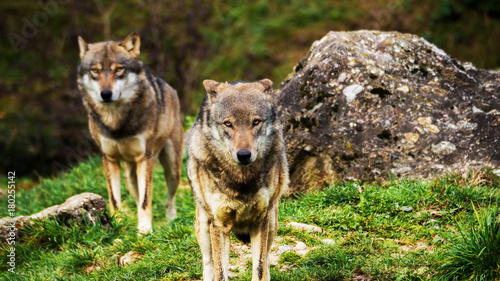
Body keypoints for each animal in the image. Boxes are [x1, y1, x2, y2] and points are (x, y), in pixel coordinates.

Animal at [79, 32, 185, 234]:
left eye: (119, 69)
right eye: (95, 71)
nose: (106, 94)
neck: (116, 122)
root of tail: (169, 87)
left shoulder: (145, 158)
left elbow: (145, 200)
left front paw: (144, 231)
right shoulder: (109, 159)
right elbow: (114, 199)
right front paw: (118, 224)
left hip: (172, 170)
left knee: (169, 200)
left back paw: (172, 222)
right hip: (130, 177)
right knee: (136, 197)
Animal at [188, 79, 290, 280]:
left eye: (256, 122)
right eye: (228, 123)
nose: (243, 155)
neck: (241, 180)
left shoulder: (260, 220)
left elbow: (259, 268)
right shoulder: (219, 225)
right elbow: (220, 272)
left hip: (272, 223)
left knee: (267, 259)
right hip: (203, 226)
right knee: (208, 265)